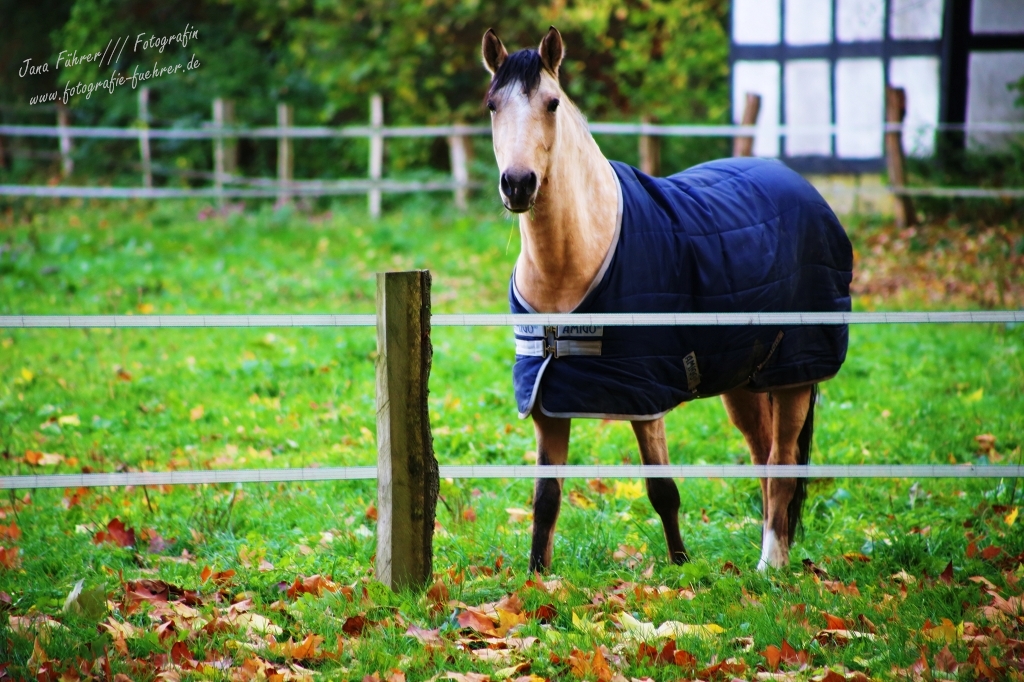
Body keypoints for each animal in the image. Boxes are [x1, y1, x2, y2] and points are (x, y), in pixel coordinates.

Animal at [483, 27, 851, 569]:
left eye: (552, 103)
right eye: (492, 105)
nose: (518, 184)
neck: (572, 264)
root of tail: (806, 190)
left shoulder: (644, 396)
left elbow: (662, 490)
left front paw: (679, 569)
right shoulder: (548, 399)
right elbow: (545, 498)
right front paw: (536, 578)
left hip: (796, 377)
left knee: (782, 464)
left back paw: (770, 566)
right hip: (743, 382)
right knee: (763, 460)